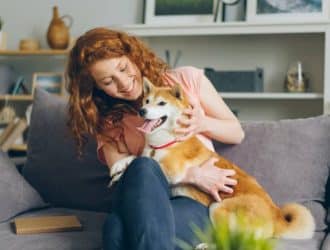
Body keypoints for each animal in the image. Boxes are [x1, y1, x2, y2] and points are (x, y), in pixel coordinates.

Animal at [110, 77, 314, 238]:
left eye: (161, 103)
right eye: (146, 101)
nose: (142, 111)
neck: (167, 141)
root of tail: (276, 217)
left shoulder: (172, 170)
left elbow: (144, 161)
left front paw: (122, 173)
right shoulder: (149, 152)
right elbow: (137, 156)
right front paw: (119, 166)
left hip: (217, 208)